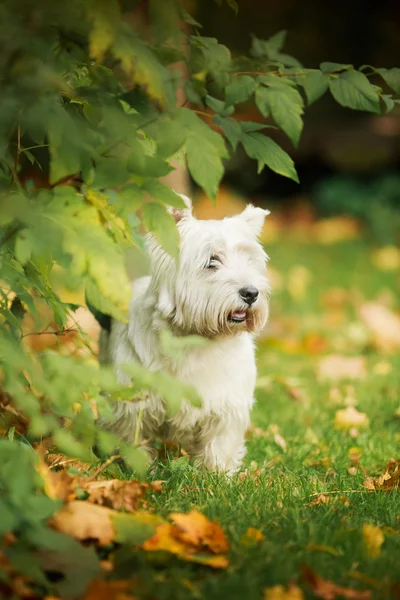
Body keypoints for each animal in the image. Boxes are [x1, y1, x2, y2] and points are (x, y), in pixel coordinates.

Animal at [99, 197, 268, 474]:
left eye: (249, 261)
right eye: (212, 261)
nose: (251, 293)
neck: (195, 337)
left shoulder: (226, 404)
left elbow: (219, 443)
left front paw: (217, 475)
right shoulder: (132, 402)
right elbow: (134, 440)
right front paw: (142, 472)